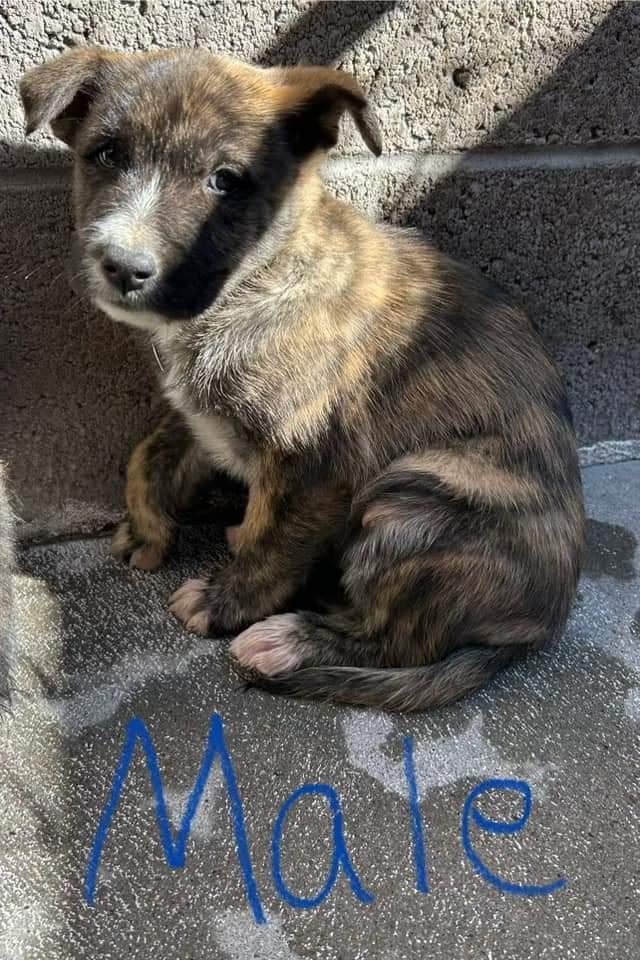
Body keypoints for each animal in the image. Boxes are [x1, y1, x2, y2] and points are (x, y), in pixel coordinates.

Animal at [20, 50, 584, 712]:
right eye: (106, 154)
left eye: (225, 181)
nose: (124, 268)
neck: (256, 283)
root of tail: (541, 627)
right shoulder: (199, 415)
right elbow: (147, 456)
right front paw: (146, 527)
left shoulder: (314, 461)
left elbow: (275, 545)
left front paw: (223, 602)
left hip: (409, 501)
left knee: (395, 640)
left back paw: (289, 641)